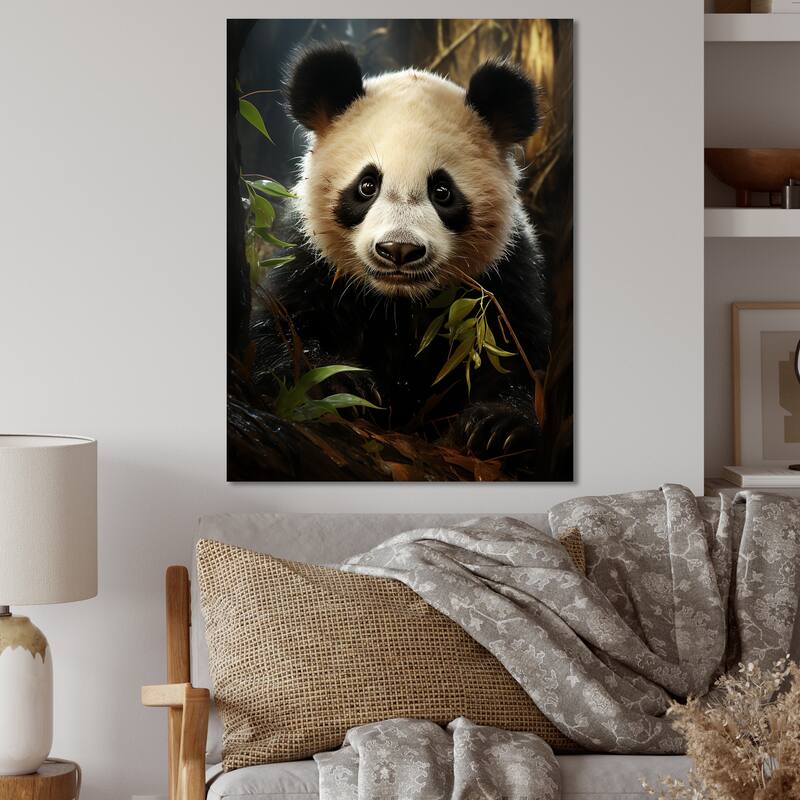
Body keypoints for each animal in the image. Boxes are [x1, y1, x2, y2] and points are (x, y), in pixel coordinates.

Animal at [251, 44, 551, 474]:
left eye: (442, 191)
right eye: (367, 185)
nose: (399, 251)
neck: (398, 301)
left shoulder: (503, 275)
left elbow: (516, 357)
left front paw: (498, 427)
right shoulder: (313, 262)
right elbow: (279, 330)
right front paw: (339, 383)